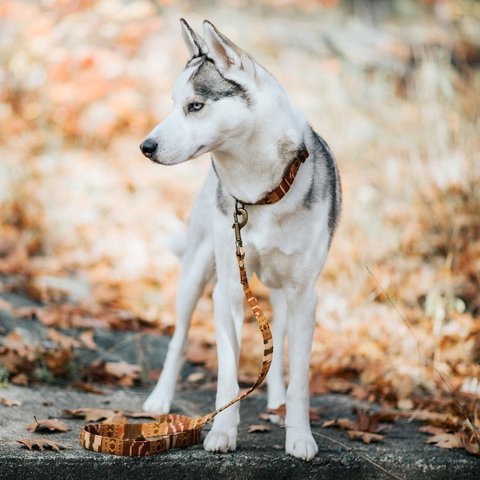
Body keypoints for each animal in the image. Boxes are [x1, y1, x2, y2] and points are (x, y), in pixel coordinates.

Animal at [139, 18, 342, 462]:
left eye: (196, 106)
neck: (261, 193)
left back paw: (277, 401)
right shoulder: (229, 289)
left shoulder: (305, 295)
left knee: (277, 346)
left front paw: (299, 435)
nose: (145, 146)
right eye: (173, 103)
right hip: (196, 273)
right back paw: (160, 398)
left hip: (281, 295)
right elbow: (228, 374)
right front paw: (222, 432)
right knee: (178, 339)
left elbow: (300, 377)